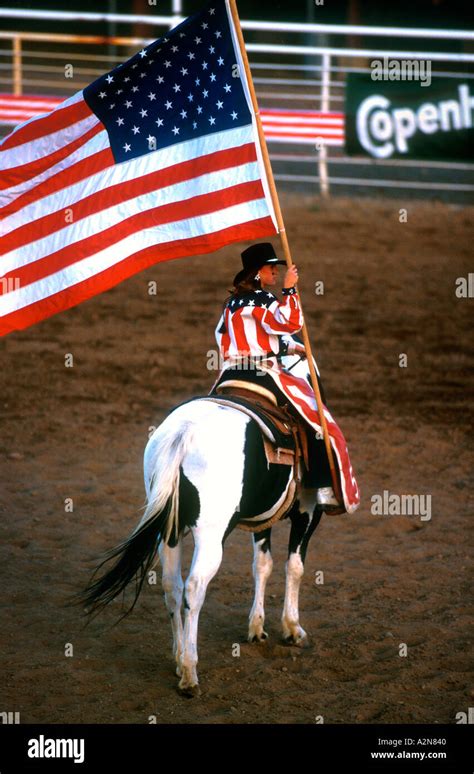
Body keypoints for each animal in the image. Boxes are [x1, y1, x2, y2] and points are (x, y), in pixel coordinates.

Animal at [81, 360, 326, 700]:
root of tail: (185, 432)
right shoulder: (308, 511)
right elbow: (295, 567)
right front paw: (292, 629)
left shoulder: (263, 519)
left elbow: (262, 565)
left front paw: (257, 627)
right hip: (210, 538)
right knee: (194, 588)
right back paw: (189, 672)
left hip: (169, 534)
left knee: (172, 586)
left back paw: (177, 656)